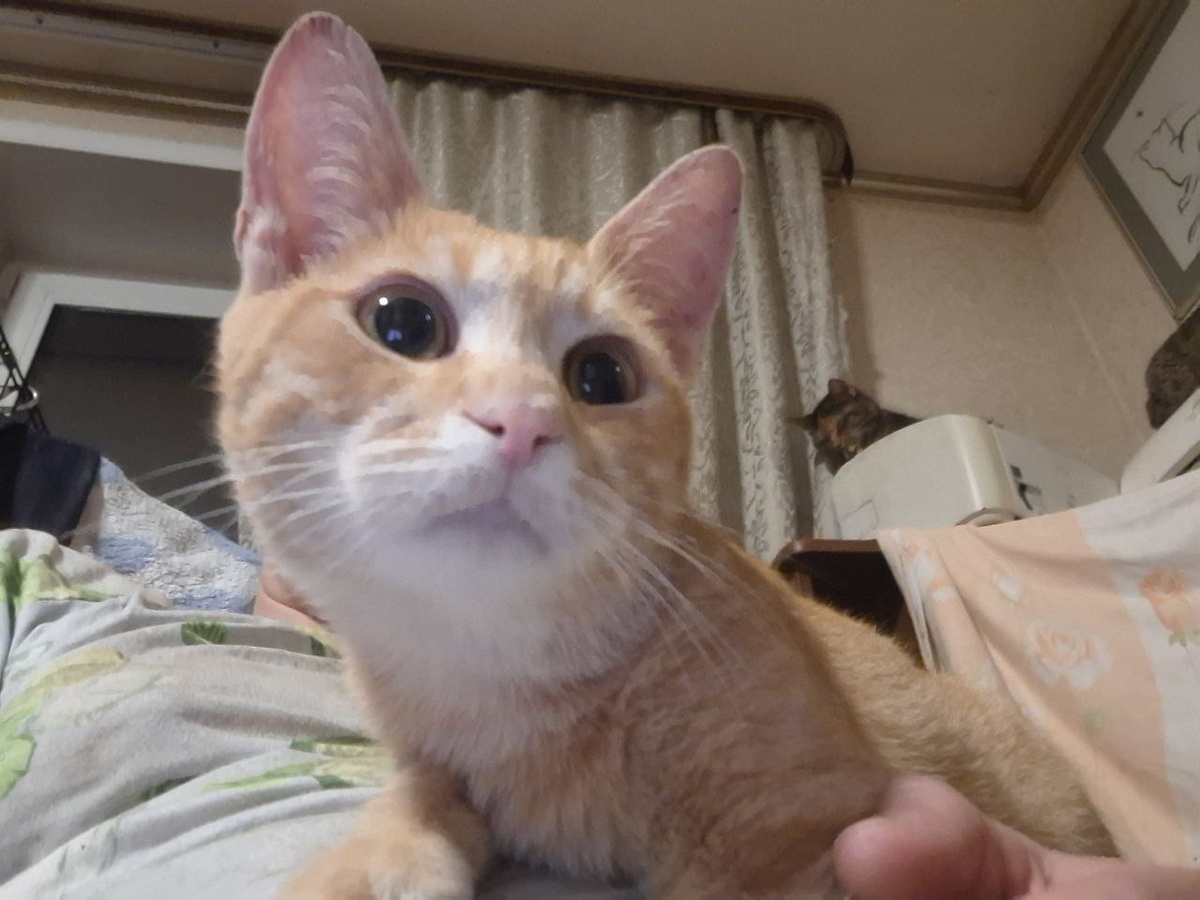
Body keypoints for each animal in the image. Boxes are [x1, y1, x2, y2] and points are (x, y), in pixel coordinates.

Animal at [217, 13, 1114, 899]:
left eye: (602, 375)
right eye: (402, 322)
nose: (520, 421)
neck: (499, 681)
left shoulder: (792, 832)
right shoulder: (430, 759)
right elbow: (415, 793)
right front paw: (370, 859)